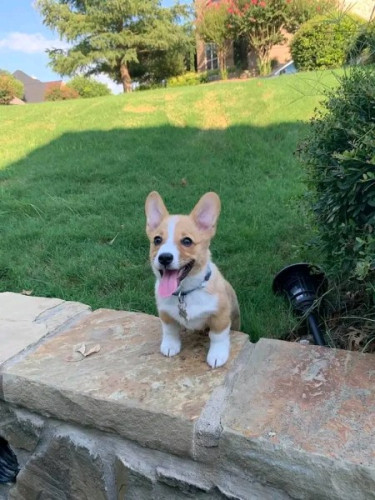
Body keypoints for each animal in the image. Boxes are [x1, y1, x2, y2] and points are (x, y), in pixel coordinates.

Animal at [145, 191, 241, 368]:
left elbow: (218, 336)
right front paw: (170, 346)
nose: (164, 257)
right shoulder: (165, 313)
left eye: (187, 241)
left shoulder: (220, 316)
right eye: (157, 240)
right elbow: (169, 330)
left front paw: (217, 355)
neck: (185, 292)